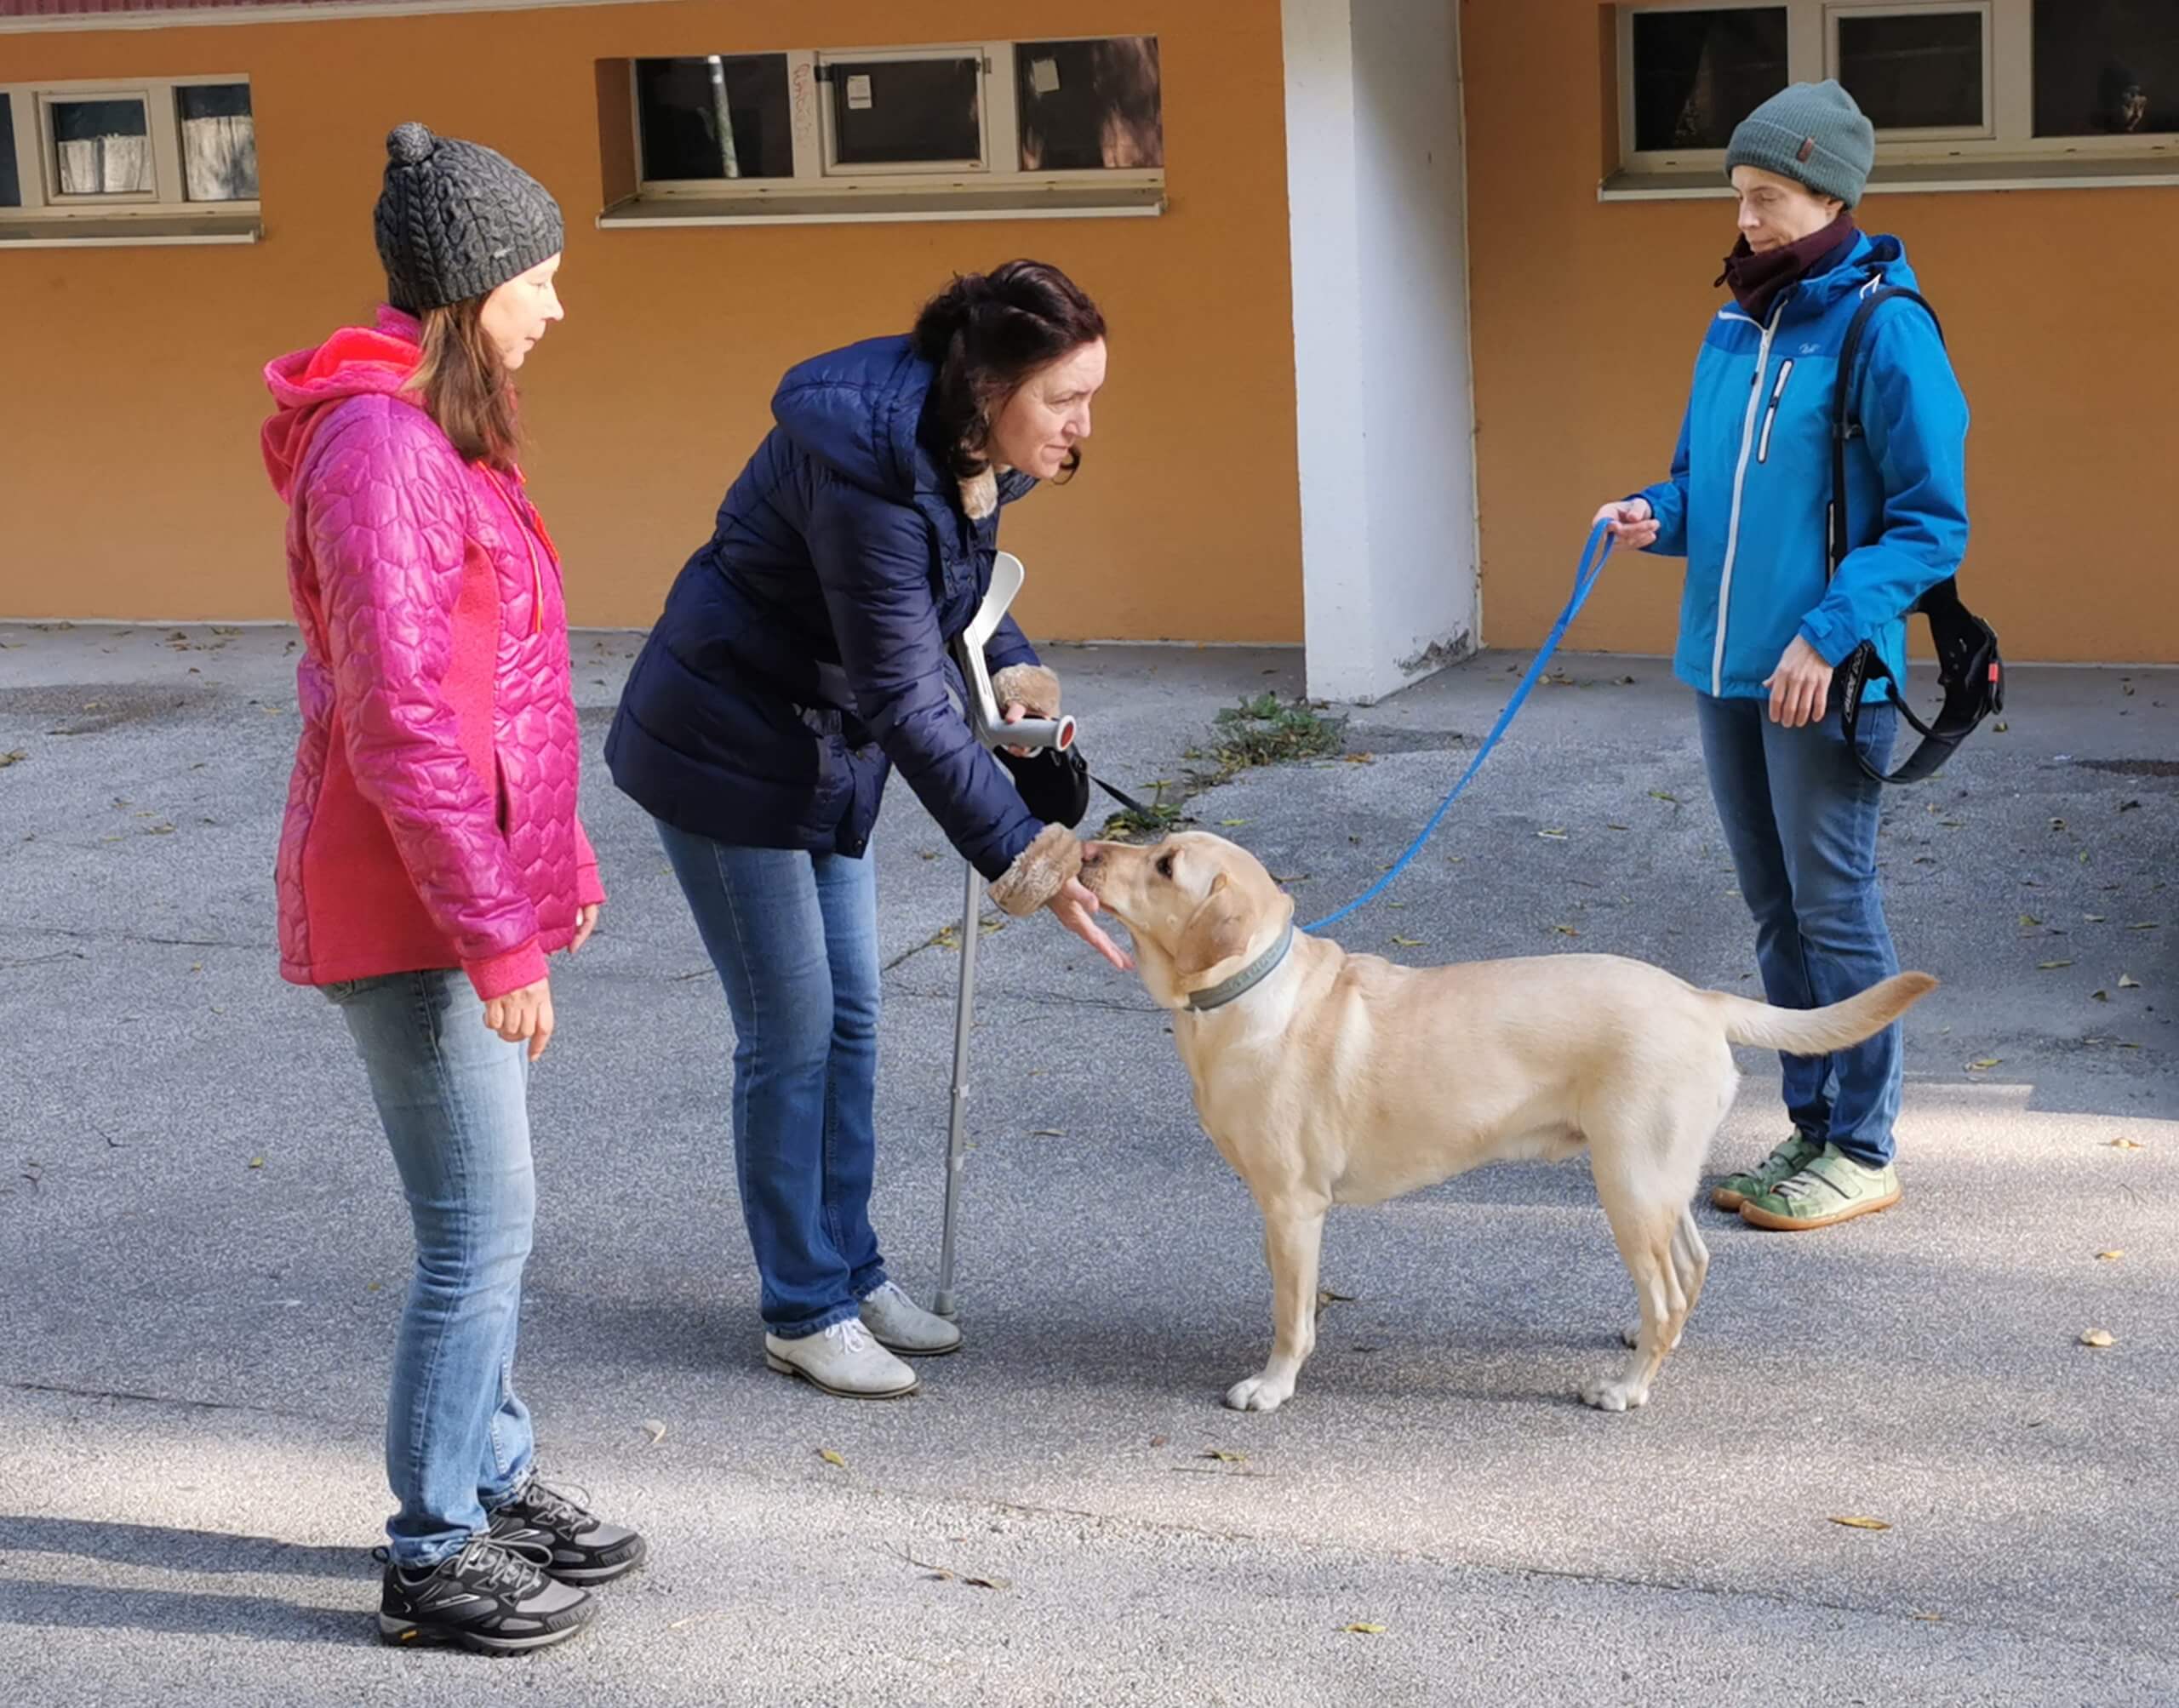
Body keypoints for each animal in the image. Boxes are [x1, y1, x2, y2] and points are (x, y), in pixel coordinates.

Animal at [1080, 831, 1935, 1411]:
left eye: (1165, 866)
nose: (1086, 848)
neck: (1249, 988)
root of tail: (1700, 999)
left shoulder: (1292, 1209)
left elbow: (1292, 1316)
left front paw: (1273, 1384)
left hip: (1628, 1184)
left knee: (1666, 1288)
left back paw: (1626, 1387)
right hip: (1656, 1181)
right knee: (1691, 1266)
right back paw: (1648, 1344)